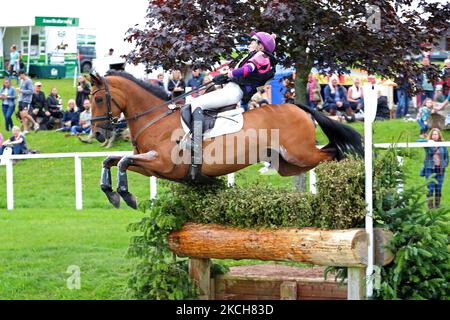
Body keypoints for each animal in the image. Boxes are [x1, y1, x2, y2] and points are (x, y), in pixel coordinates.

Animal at [89, 71, 364, 209]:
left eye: (99, 99)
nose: (98, 134)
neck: (155, 118)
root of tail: (299, 107)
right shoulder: (151, 167)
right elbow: (111, 160)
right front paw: (112, 194)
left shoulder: (162, 163)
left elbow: (122, 161)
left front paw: (125, 195)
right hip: (289, 164)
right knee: (328, 153)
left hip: (301, 153)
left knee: (333, 153)